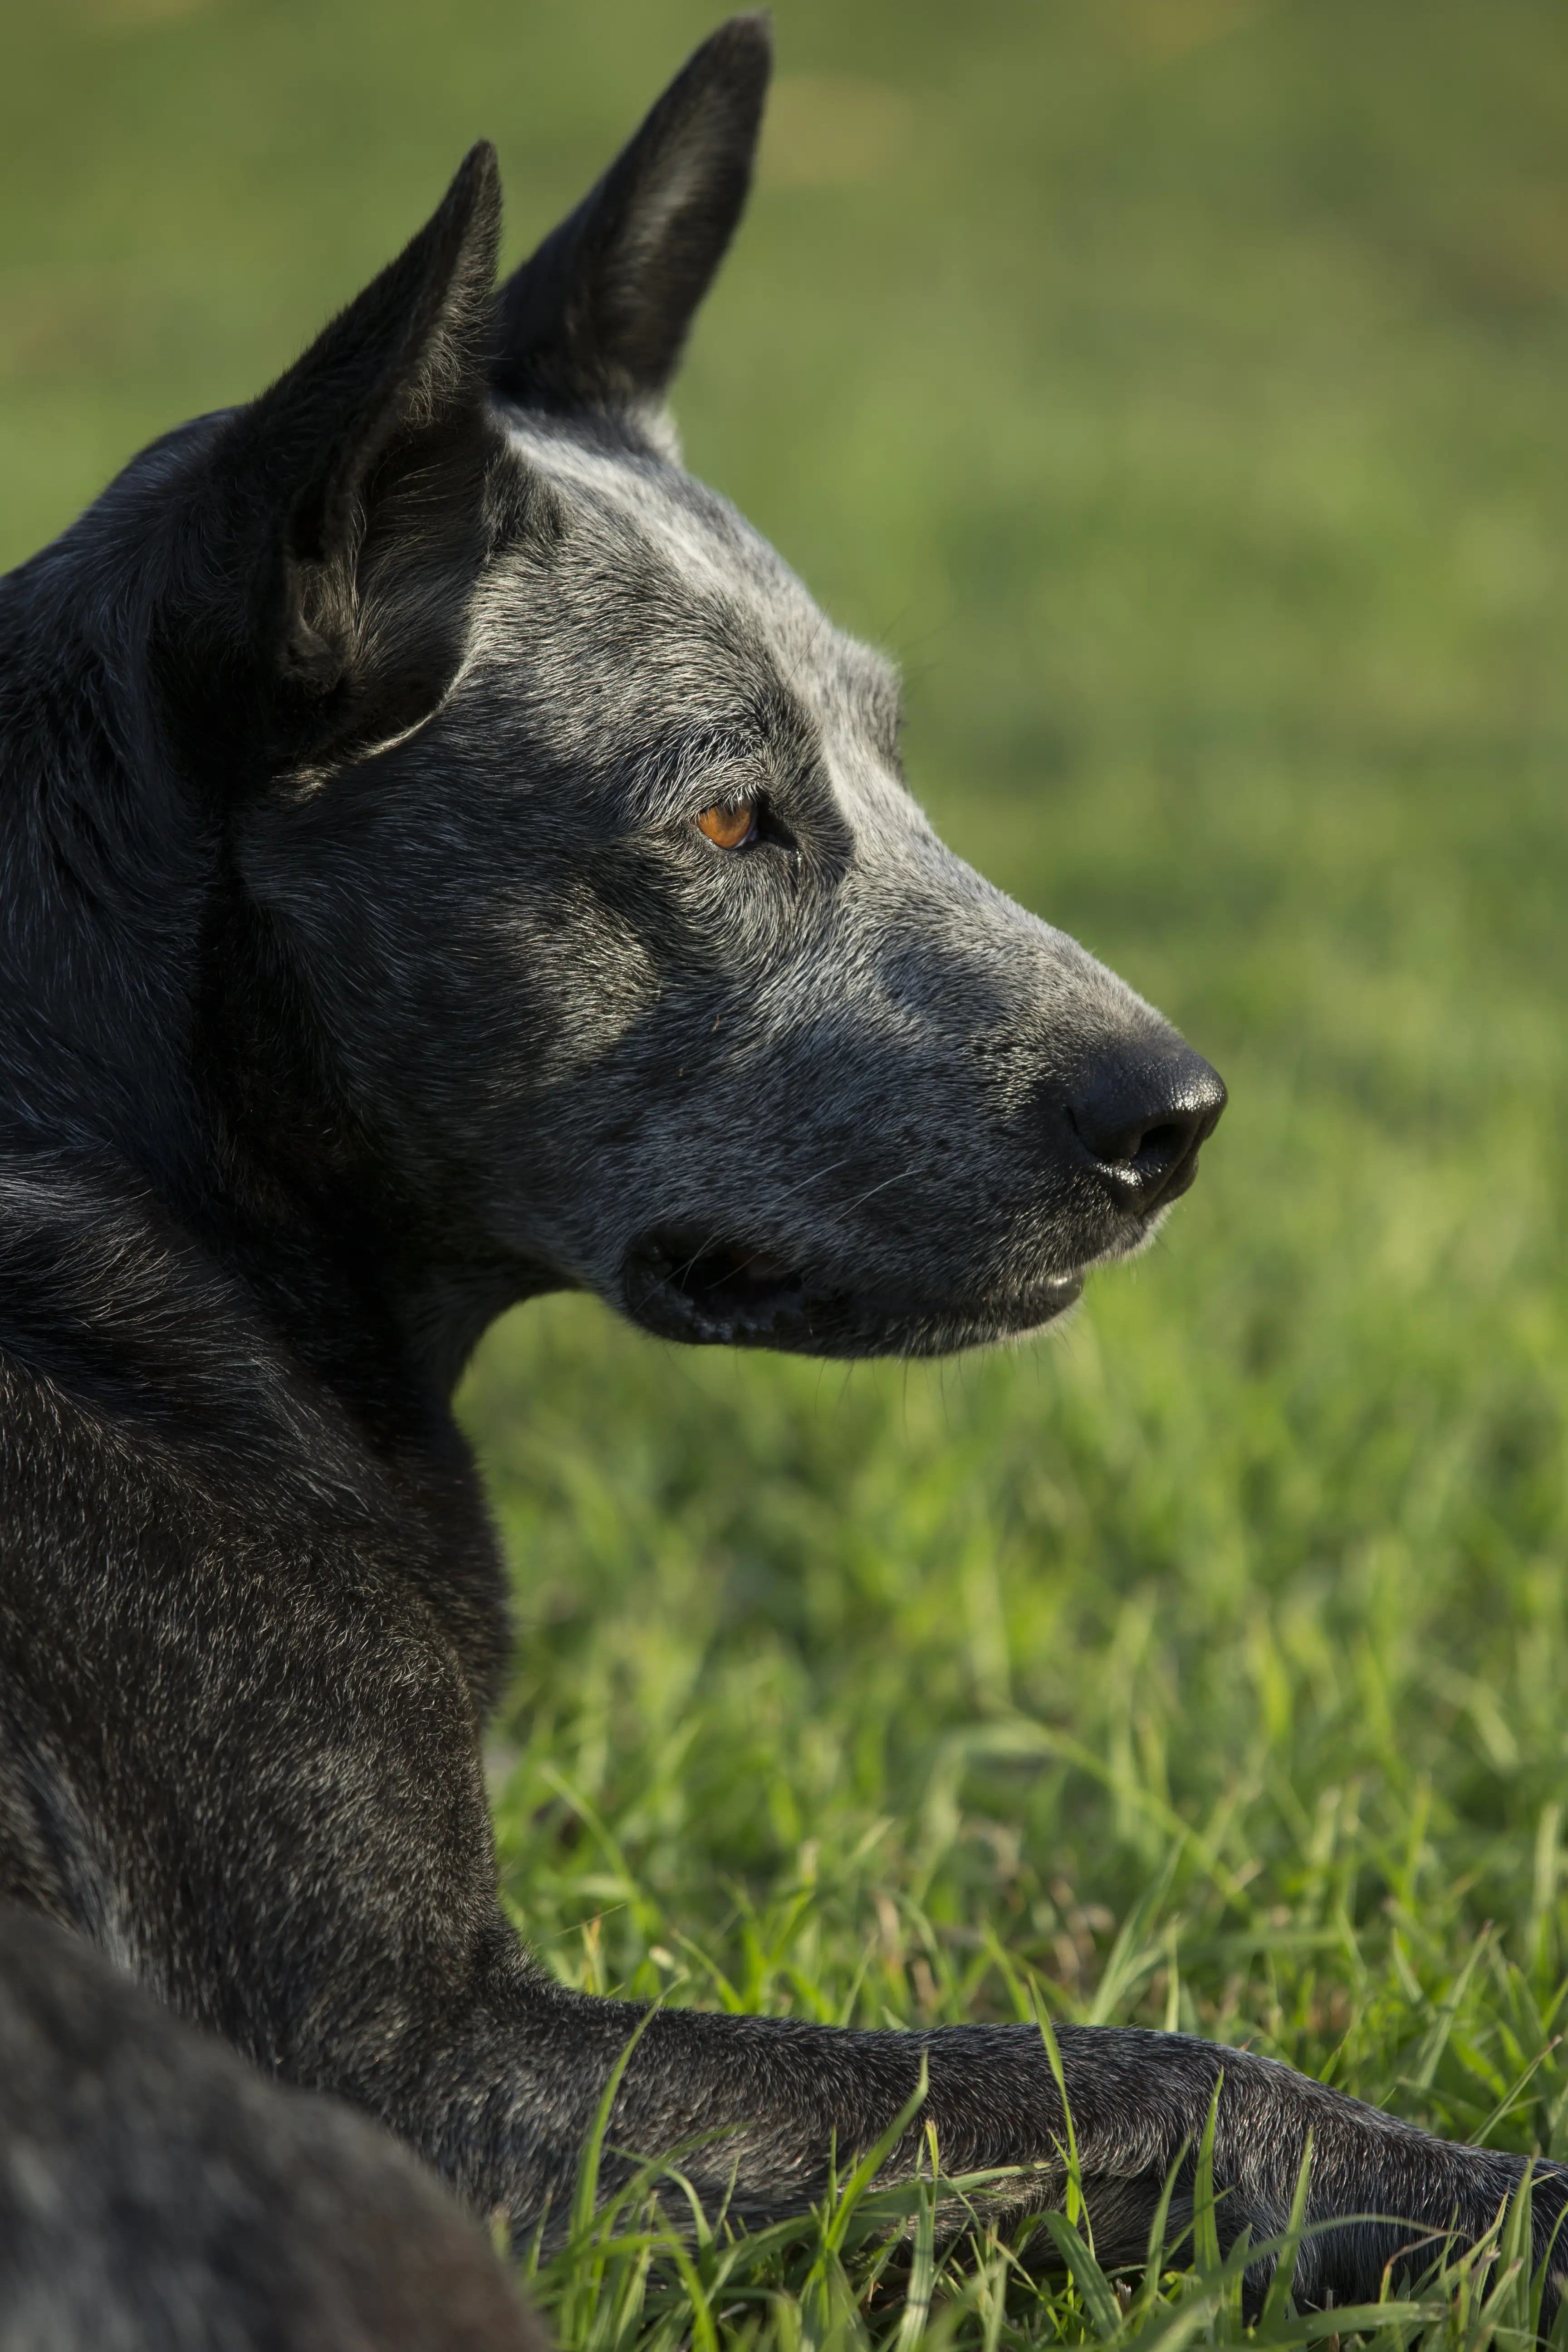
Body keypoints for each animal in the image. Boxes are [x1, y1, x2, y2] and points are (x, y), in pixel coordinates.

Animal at [0, 18, 1561, 2352]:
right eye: (730, 820)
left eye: (889, 750)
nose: (1180, 1115)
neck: (128, 1195)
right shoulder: (410, 2065)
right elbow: (1125, 2069)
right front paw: (1502, 2205)